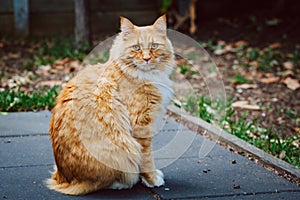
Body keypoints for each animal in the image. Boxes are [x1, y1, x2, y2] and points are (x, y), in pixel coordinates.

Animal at [45, 15, 175, 195]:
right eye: (136, 48)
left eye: (154, 46)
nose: (147, 59)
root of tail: (63, 178)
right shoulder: (141, 126)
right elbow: (147, 159)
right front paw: (152, 180)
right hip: (122, 149)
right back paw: (122, 183)